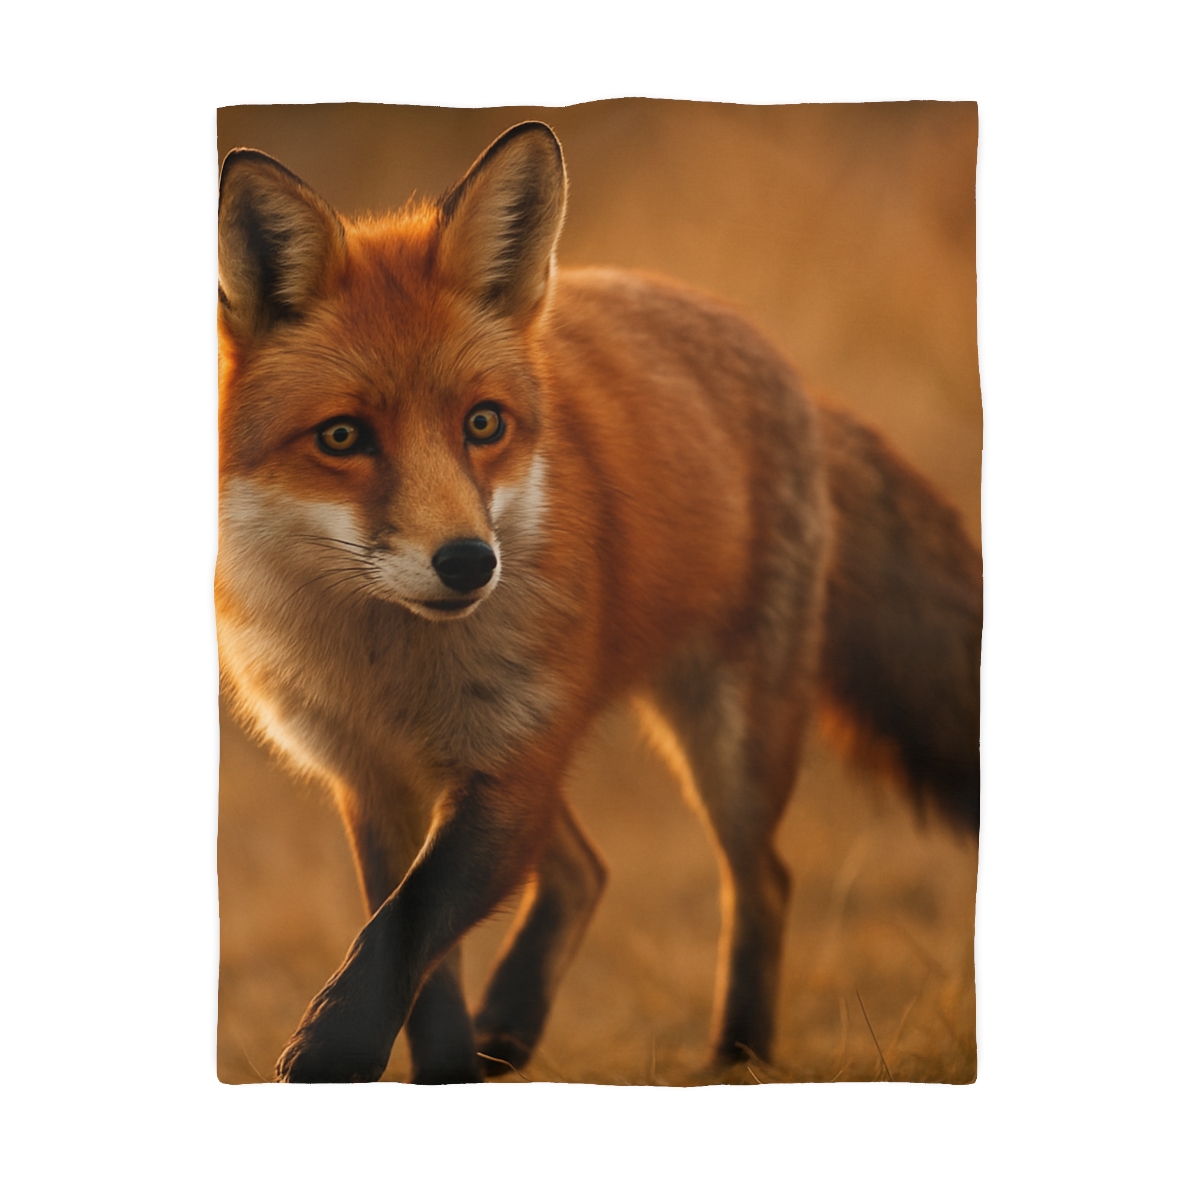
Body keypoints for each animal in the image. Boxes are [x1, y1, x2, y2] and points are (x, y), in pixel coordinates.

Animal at [216, 121, 982, 1084]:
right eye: (343, 437)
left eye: (484, 423)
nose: (468, 564)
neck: (391, 668)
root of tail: (781, 364)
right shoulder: (376, 782)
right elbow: (415, 959)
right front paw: (443, 1071)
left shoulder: (511, 765)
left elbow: (403, 932)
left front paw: (328, 1053)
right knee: (586, 870)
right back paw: (511, 1026)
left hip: (727, 743)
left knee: (761, 878)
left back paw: (737, 1052)